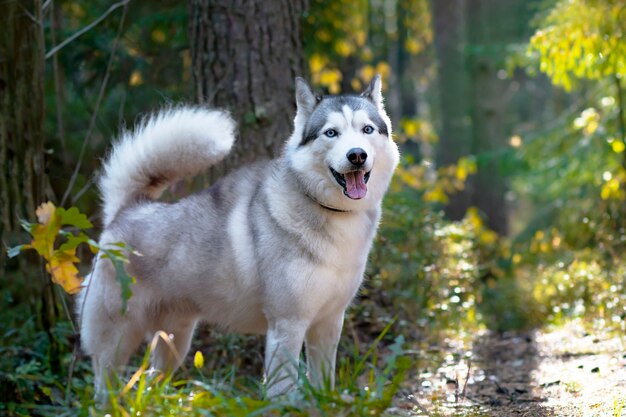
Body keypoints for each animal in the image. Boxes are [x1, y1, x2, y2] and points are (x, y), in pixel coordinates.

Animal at [78, 75, 398, 400]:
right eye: (331, 133)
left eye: (367, 129)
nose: (356, 155)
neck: (333, 214)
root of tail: (125, 212)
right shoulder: (287, 324)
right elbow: (283, 388)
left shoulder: (329, 322)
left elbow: (324, 383)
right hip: (115, 342)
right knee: (103, 388)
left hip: (174, 342)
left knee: (154, 381)